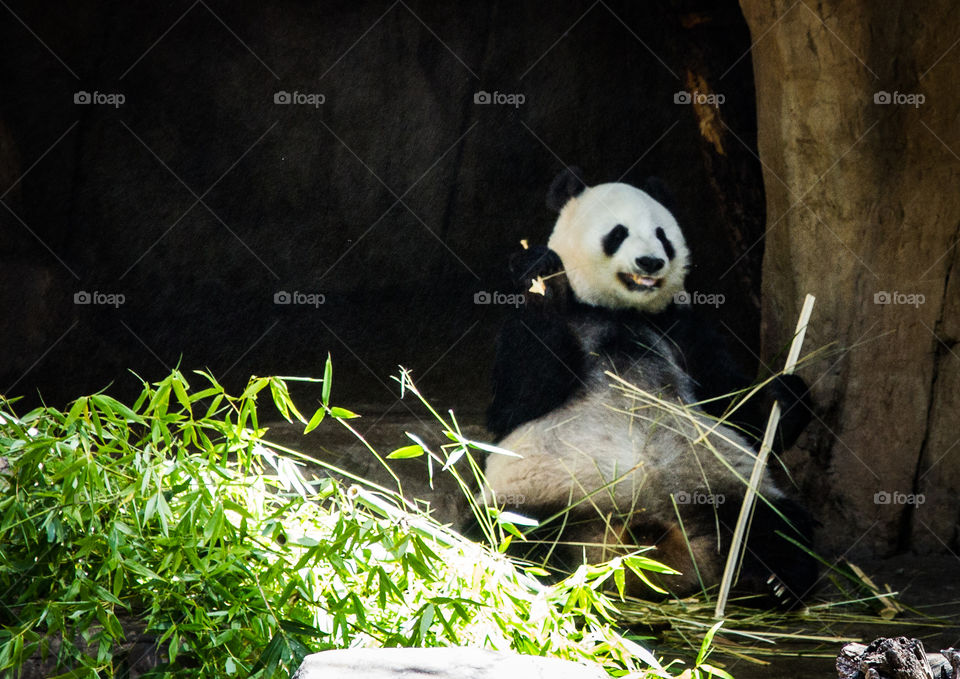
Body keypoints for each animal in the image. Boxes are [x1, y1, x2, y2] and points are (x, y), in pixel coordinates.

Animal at [481, 167, 817, 606]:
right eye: (618, 232)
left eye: (662, 235)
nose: (651, 262)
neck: (621, 312)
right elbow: (517, 402)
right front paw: (541, 277)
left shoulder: (684, 328)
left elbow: (735, 411)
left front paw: (784, 396)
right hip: (539, 493)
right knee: (509, 534)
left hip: (725, 488)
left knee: (777, 525)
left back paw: (770, 583)